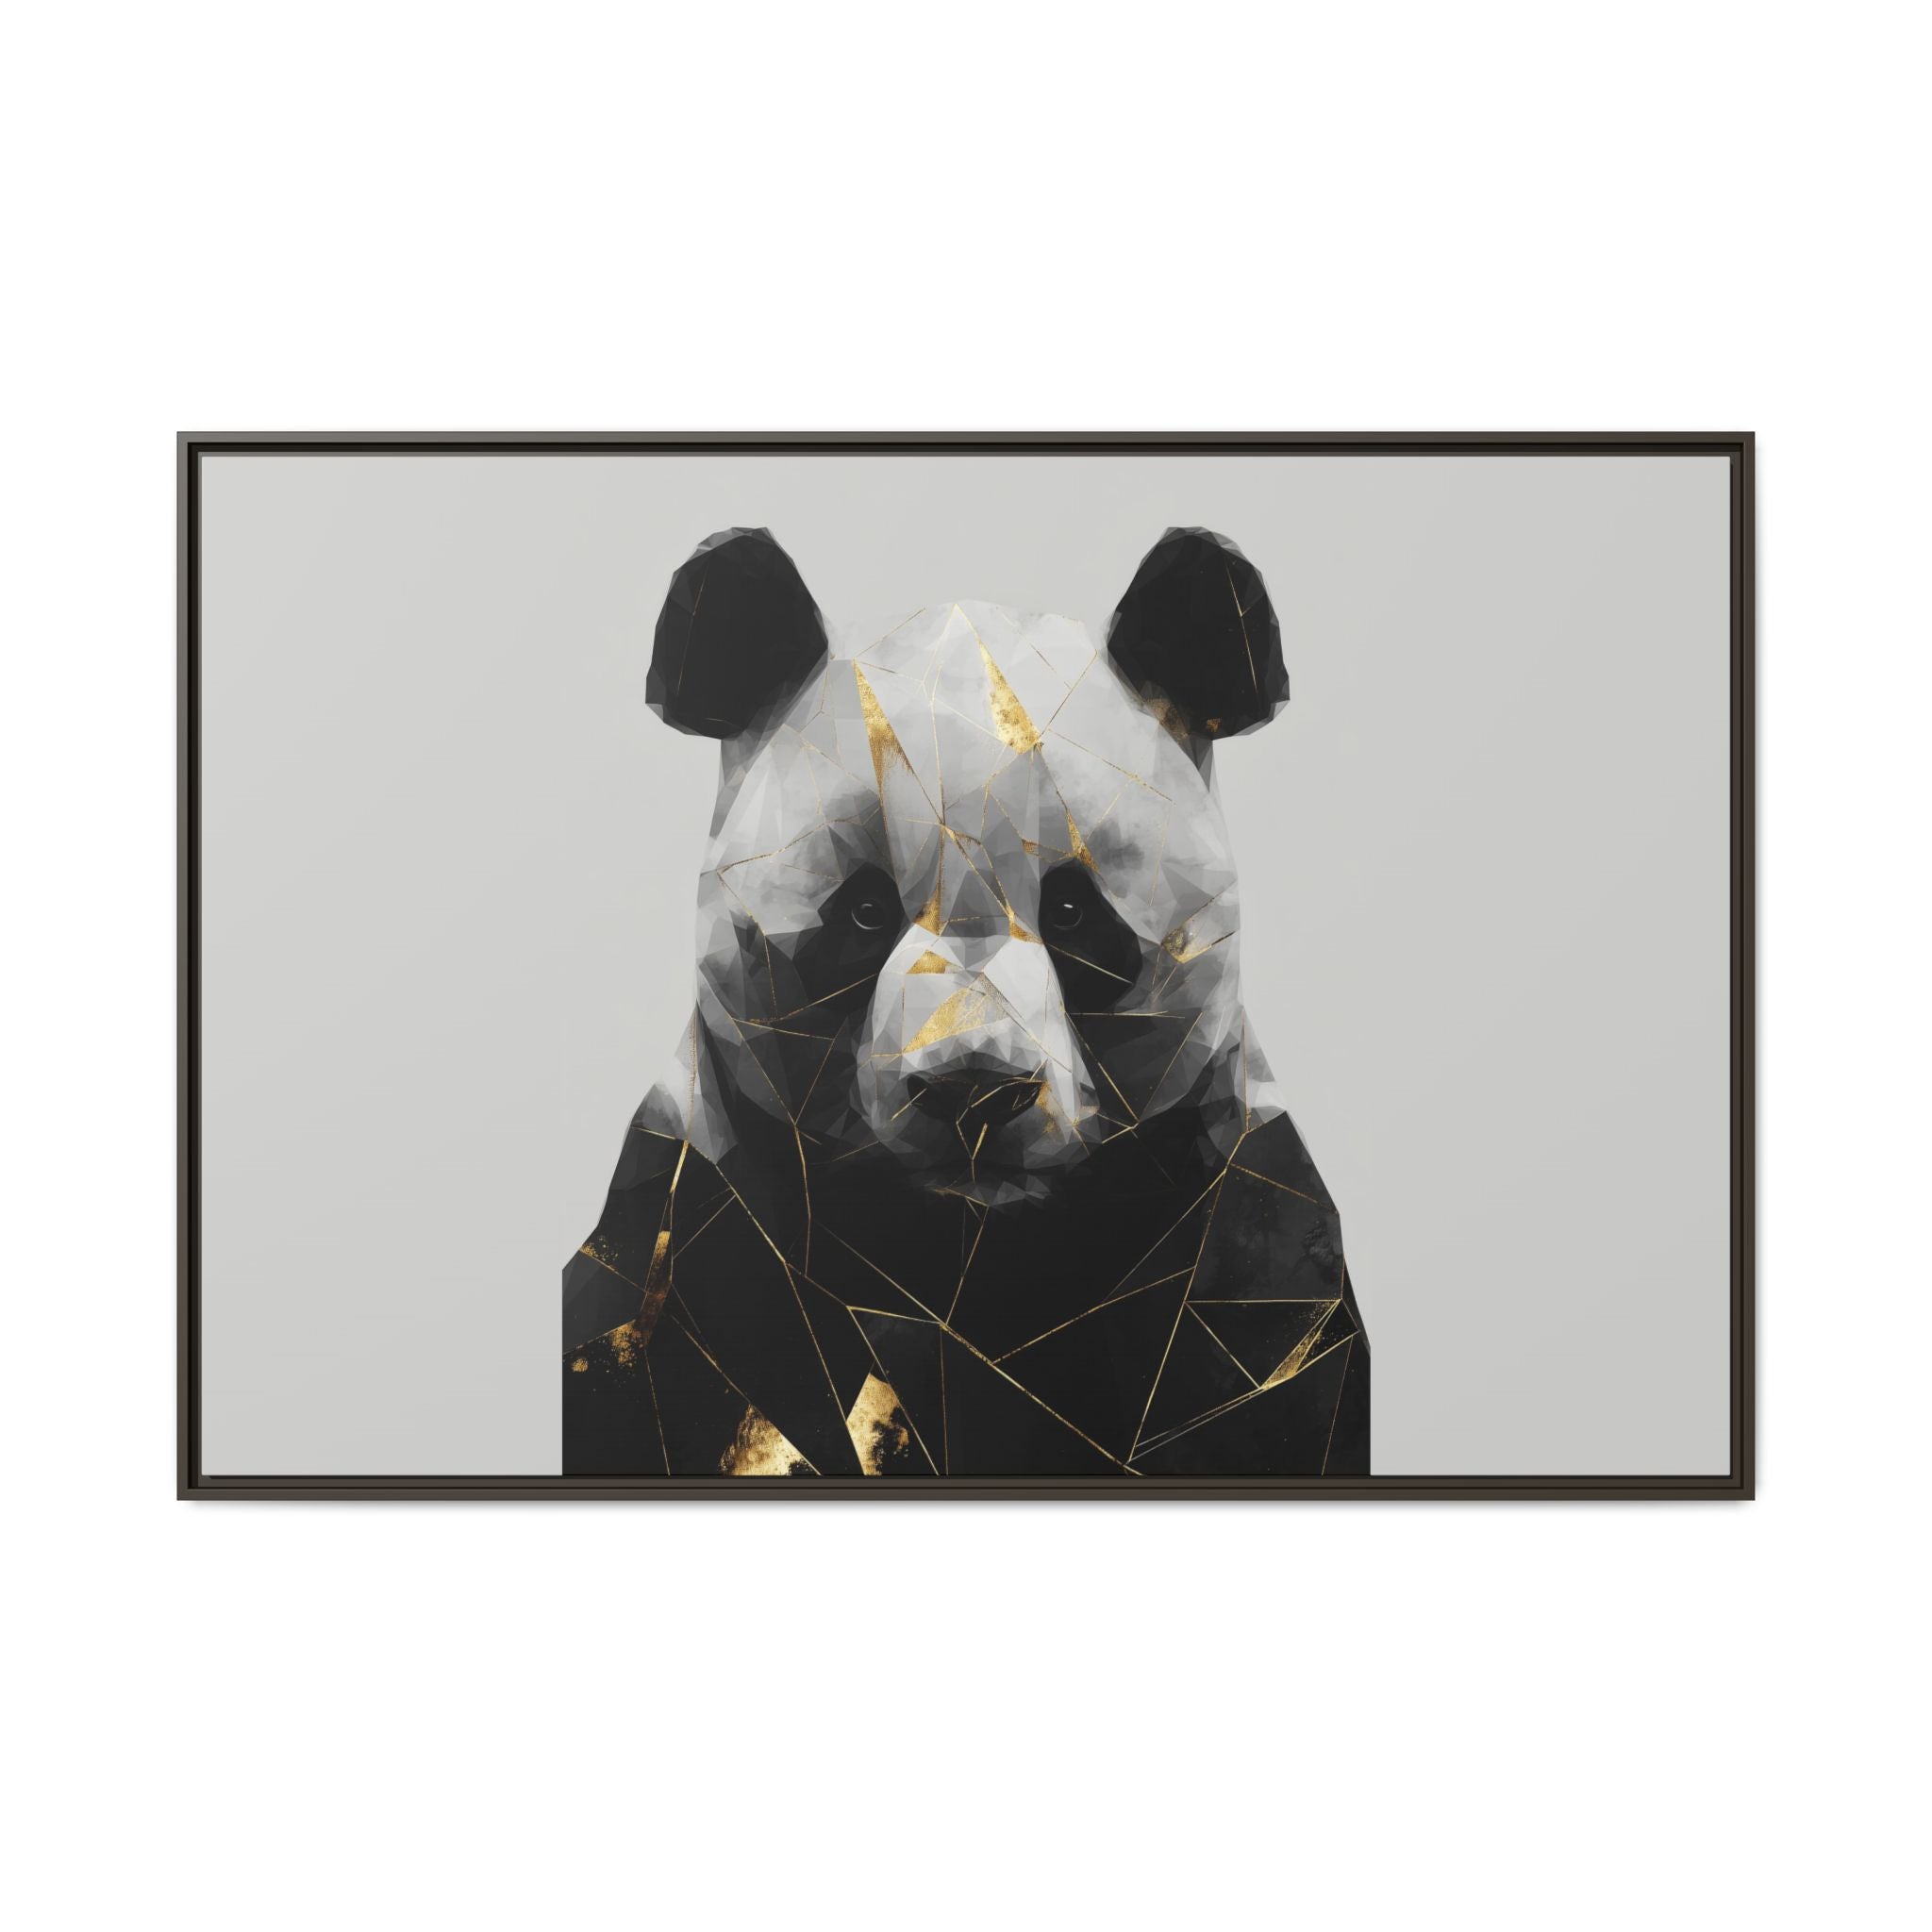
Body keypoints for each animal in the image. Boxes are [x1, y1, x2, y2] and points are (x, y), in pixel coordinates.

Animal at [562, 526, 1368, 1478]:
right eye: (864, 911)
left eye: (1074, 912)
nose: (974, 1091)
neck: (967, 1265)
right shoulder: (692, 1236)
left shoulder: (1245, 1255)